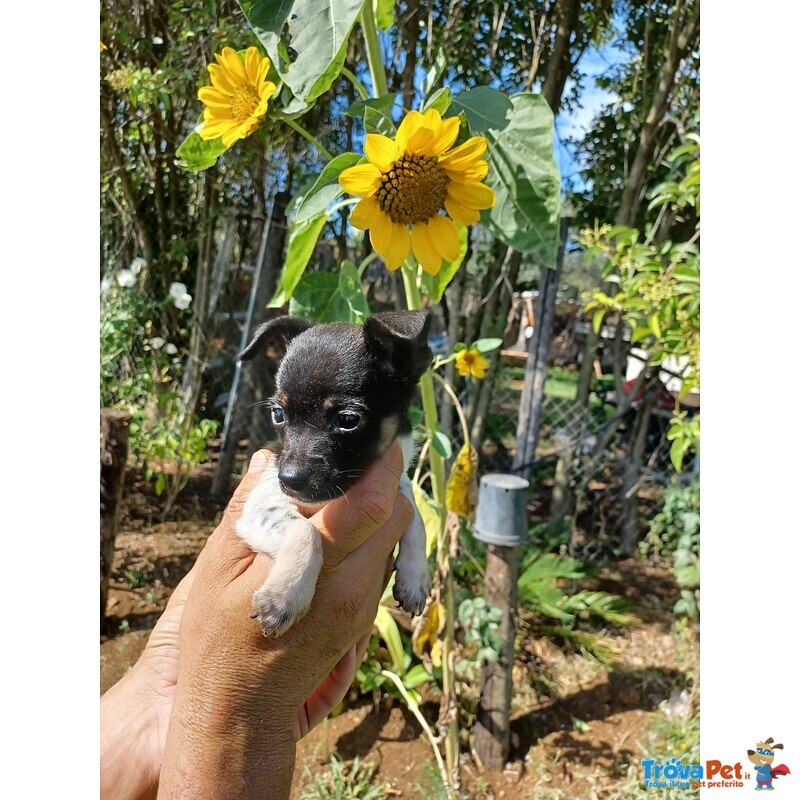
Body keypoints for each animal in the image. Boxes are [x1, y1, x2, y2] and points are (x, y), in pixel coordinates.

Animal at [234, 310, 434, 636]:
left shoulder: (400, 486)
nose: (288, 480)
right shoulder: (258, 503)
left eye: (348, 420)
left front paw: (415, 577)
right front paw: (285, 596)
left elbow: (416, 518)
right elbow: (305, 531)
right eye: (278, 414)